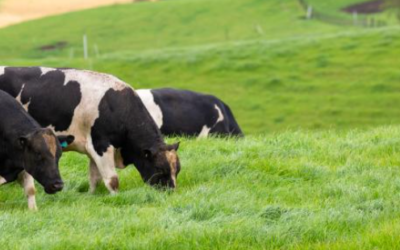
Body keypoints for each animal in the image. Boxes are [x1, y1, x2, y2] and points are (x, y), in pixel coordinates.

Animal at [0, 65, 181, 194]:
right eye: (159, 169)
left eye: (177, 169)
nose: (170, 192)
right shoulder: (101, 144)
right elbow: (112, 180)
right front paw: (115, 197)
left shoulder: (92, 148)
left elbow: (95, 178)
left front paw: (92, 196)